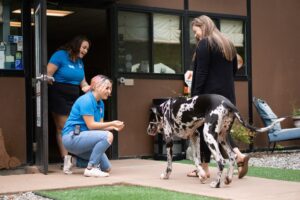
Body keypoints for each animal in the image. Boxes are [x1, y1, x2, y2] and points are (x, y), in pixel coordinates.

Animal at [148, 94, 284, 188]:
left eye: (150, 119)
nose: (147, 130)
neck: (165, 109)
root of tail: (228, 104)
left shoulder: (169, 140)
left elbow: (169, 164)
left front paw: (166, 175)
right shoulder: (195, 136)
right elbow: (197, 160)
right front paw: (202, 175)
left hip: (208, 136)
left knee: (221, 161)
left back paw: (216, 184)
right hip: (221, 137)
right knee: (232, 156)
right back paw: (228, 178)